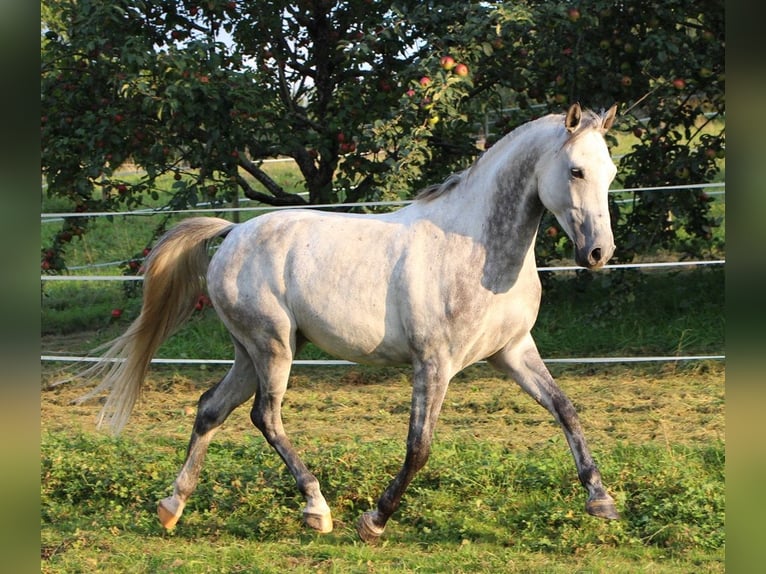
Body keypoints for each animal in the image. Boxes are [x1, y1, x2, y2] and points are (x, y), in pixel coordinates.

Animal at [81, 104, 624, 544]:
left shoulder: (512, 351)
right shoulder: (435, 362)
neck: (478, 251)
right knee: (265, 416)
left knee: (211, 409)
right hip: (273, 347)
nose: (599, 253)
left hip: (251, 352)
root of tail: (233, 231)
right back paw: (316, 510)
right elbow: (419, 447)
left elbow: (566, 409)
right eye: (576, 170)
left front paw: (601, 501)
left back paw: (172, 507)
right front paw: (374, 522)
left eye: (612, 171)